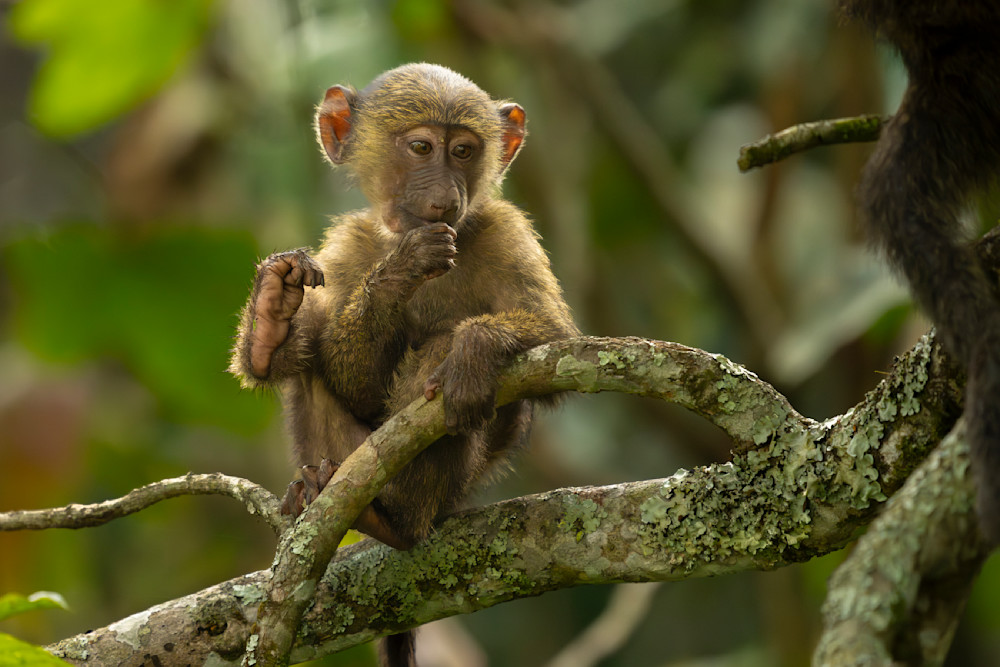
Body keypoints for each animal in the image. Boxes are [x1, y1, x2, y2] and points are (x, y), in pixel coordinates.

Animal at [229, 63, 578, 665]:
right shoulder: (350, 243)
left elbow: (558, 340)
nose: (443, 196)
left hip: (448, 492)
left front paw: (475, 348)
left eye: (462, 151)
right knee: (307, 371)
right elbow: (348, 377)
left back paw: (397, 515)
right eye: (420, 148)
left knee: (439, 370)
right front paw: (390, 274)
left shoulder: (507, 229)